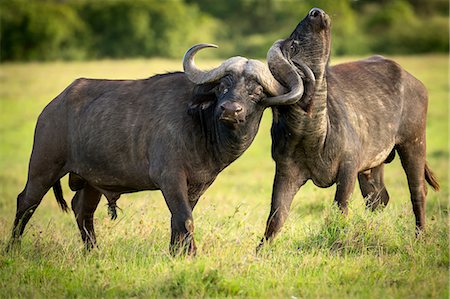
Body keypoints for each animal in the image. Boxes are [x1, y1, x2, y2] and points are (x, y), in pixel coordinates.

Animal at [7, 44, 306, 255]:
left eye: (256, 92)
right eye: (223, 86)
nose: (230, 110)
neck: (201, 128)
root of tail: (52, 107)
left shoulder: (197, 185)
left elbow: (179, 219)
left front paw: (176, 254)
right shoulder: (169, 178)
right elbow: (185, 219)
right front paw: (190, 254)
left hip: (91, 180)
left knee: (82, 210)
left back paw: (93, 252)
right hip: (43, 167)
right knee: (26, 202)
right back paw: (12, 249)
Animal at [258, 8, 438, 247]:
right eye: (293, 46)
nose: (316, 12)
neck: (313, 133)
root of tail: (415, 82)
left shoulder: (349, 168)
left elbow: (340, 208)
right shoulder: (286, 171)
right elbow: (276, 216)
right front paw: (261, 249)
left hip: (414, 142)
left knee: (417, 191)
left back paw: (420, 237)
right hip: (374, 165)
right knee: (378, 199)